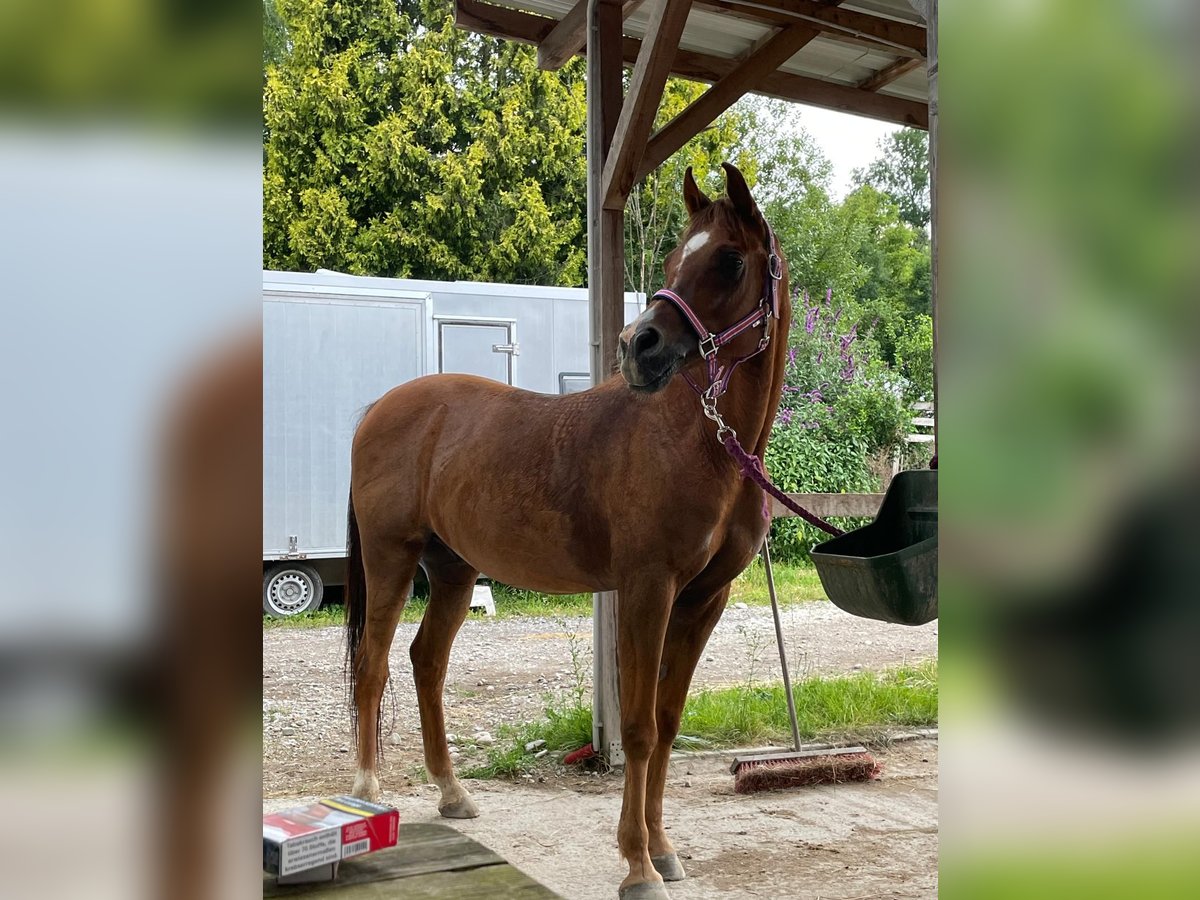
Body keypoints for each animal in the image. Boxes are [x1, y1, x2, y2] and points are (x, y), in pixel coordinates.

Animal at [348, 164, 792, 900]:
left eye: (729, 260)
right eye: (673, 259)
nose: (639, 346)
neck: (700, 445)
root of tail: (380, 408)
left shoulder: (704, 600)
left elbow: (668, 724)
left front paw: (663, 849)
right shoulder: (646, 590)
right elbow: (639, 727)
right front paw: (638, 866)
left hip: (453, 571)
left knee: (426, 663)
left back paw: (452, 793)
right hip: (391, 560)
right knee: (374, 665)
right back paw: (366, 791)